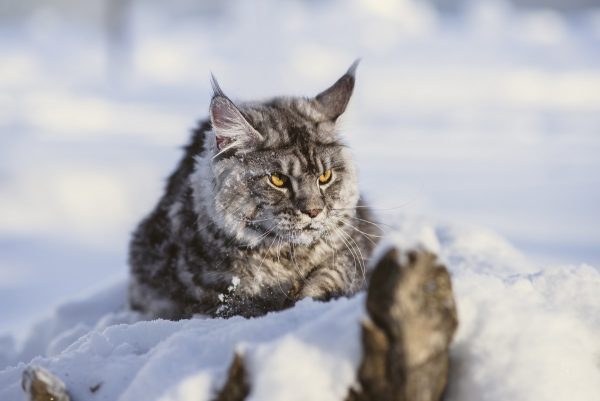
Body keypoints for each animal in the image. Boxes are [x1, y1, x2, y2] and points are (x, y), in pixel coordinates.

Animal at [127, 61, 380, 318]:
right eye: (278, 179)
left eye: (325, 176)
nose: (314, 211)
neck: (289, 257)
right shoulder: (213, 294)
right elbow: (245, 301)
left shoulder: (354, 253)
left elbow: (332, 276)